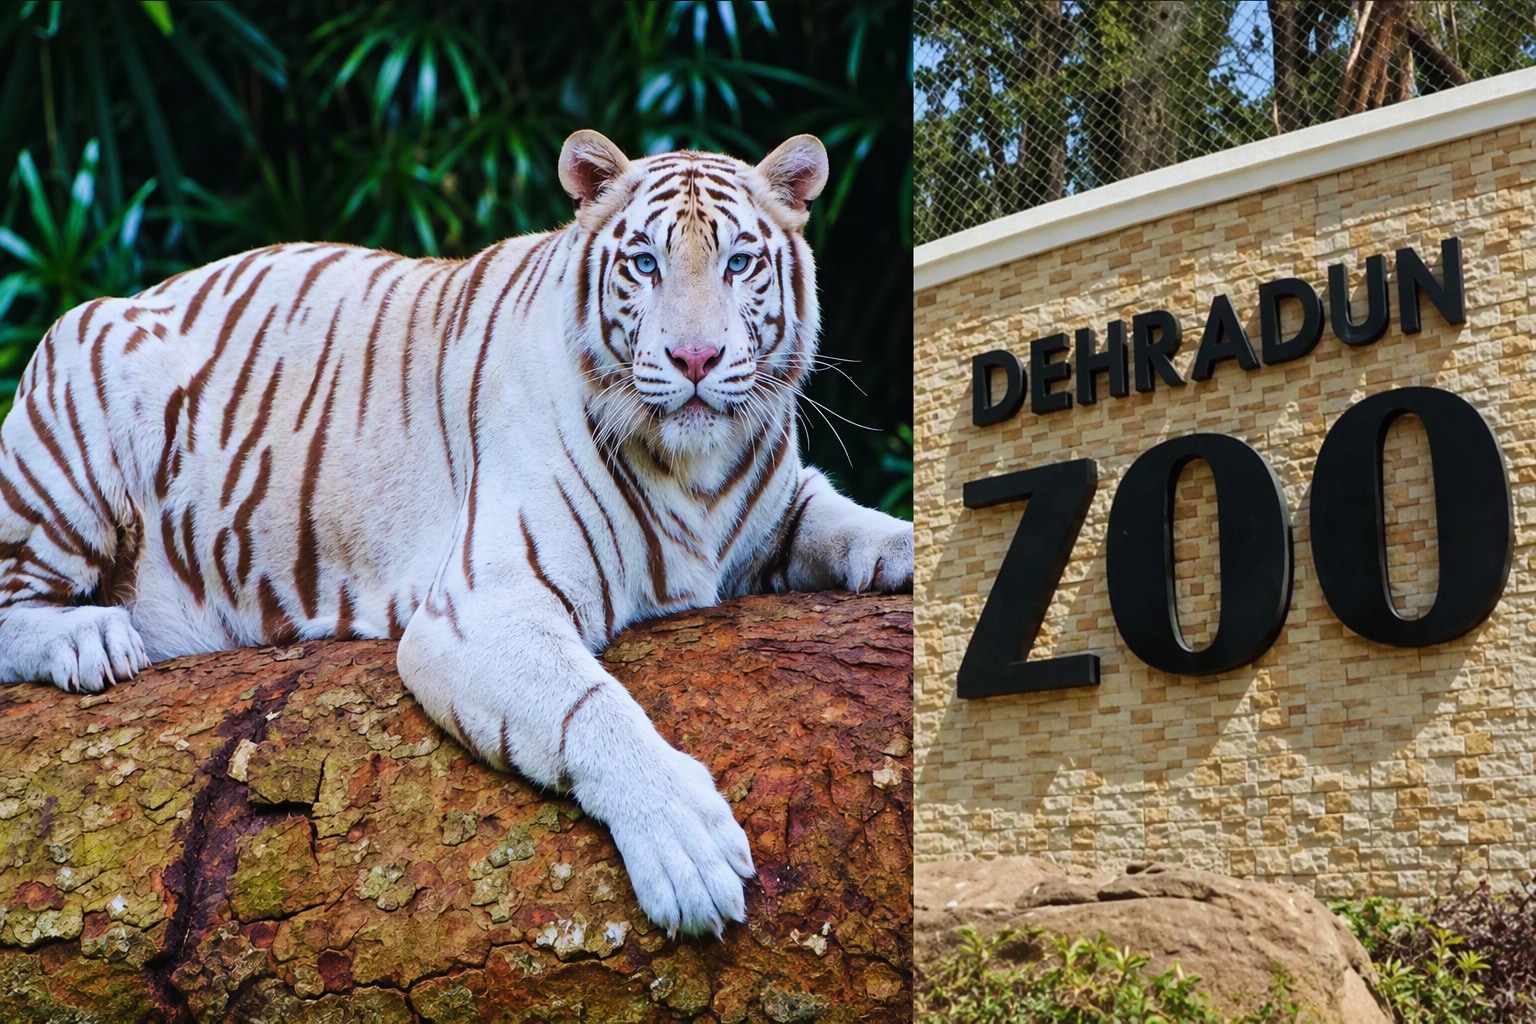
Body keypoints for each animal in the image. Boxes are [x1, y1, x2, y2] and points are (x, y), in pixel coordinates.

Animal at [0, 130, 913, 937]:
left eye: (739, 263)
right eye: (646, 263)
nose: (695, 358)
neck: (698, 474)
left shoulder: (776, 509)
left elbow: (850, 522)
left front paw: (909, 549)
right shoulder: (484, 608)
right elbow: (592, 709)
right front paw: (686, 849)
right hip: (74, 412)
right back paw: (89, 640)